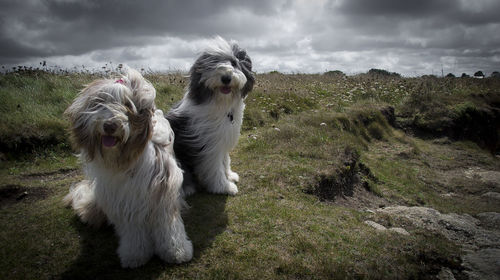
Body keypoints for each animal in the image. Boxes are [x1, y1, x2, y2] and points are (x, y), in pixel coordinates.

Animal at [63, 67, 192, 266]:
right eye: (100, 103)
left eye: (127, 105)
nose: (110, 125)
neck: (127, 160)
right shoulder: (124, 202)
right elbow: (133, 232)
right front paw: (135, 256)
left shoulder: (163, 192)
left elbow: (169, 227)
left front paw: (176, 252)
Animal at [167, 36, 254, 195]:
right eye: (213, 64)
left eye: (234, 63)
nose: (226, 78)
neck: (222, 104)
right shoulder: (208, 146)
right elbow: (215, 168)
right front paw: (224, 187)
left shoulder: (223, 137)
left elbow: (225, 161)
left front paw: (230, 175)